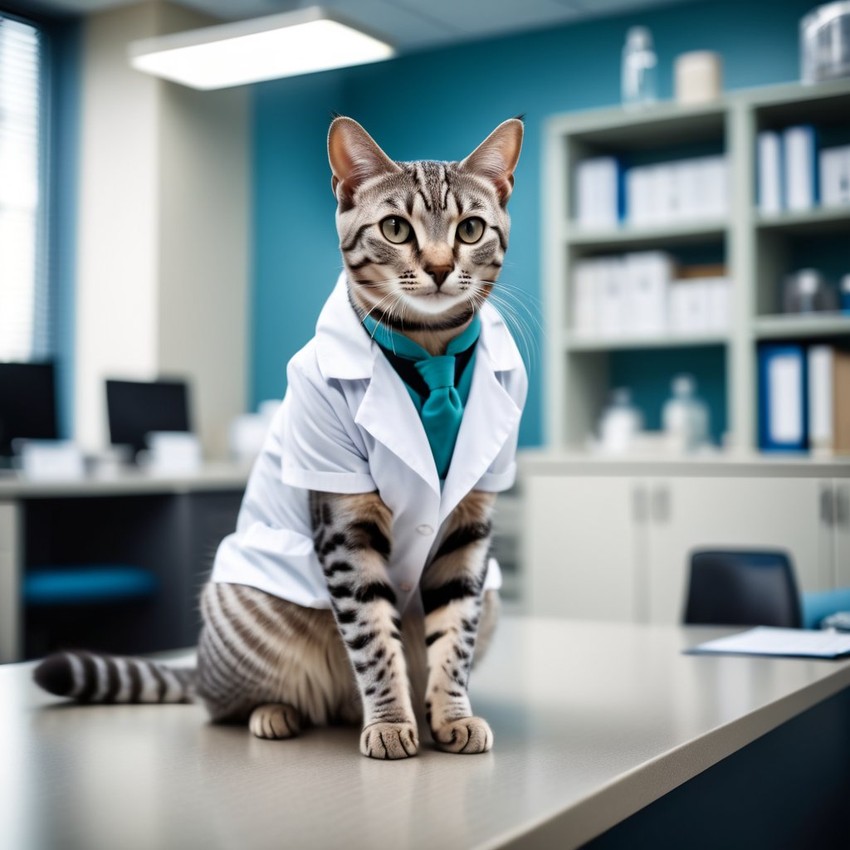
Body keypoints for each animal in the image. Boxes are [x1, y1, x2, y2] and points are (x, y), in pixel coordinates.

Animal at [33, 116, 524, 760]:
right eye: (395, 228)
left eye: (470, 229)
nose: (442, 268)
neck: (431, 352)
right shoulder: (345, 522)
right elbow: (373, 637)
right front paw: (391, 721)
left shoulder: (472, 523)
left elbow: (455, 634)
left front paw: (451, 712)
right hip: (241, 608)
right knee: (222, 703)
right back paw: (277, 713)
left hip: (492, 597)